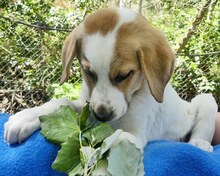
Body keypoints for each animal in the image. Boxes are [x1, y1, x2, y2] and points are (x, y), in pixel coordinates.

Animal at [4, 7, 217, 152]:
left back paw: (200, 143)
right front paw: (27, 117)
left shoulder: (134, 134)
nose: (102, 115)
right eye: (88, 72)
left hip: (205, 100)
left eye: (124, 75)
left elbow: (115, 138)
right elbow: (63, 102)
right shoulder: (87, 105)